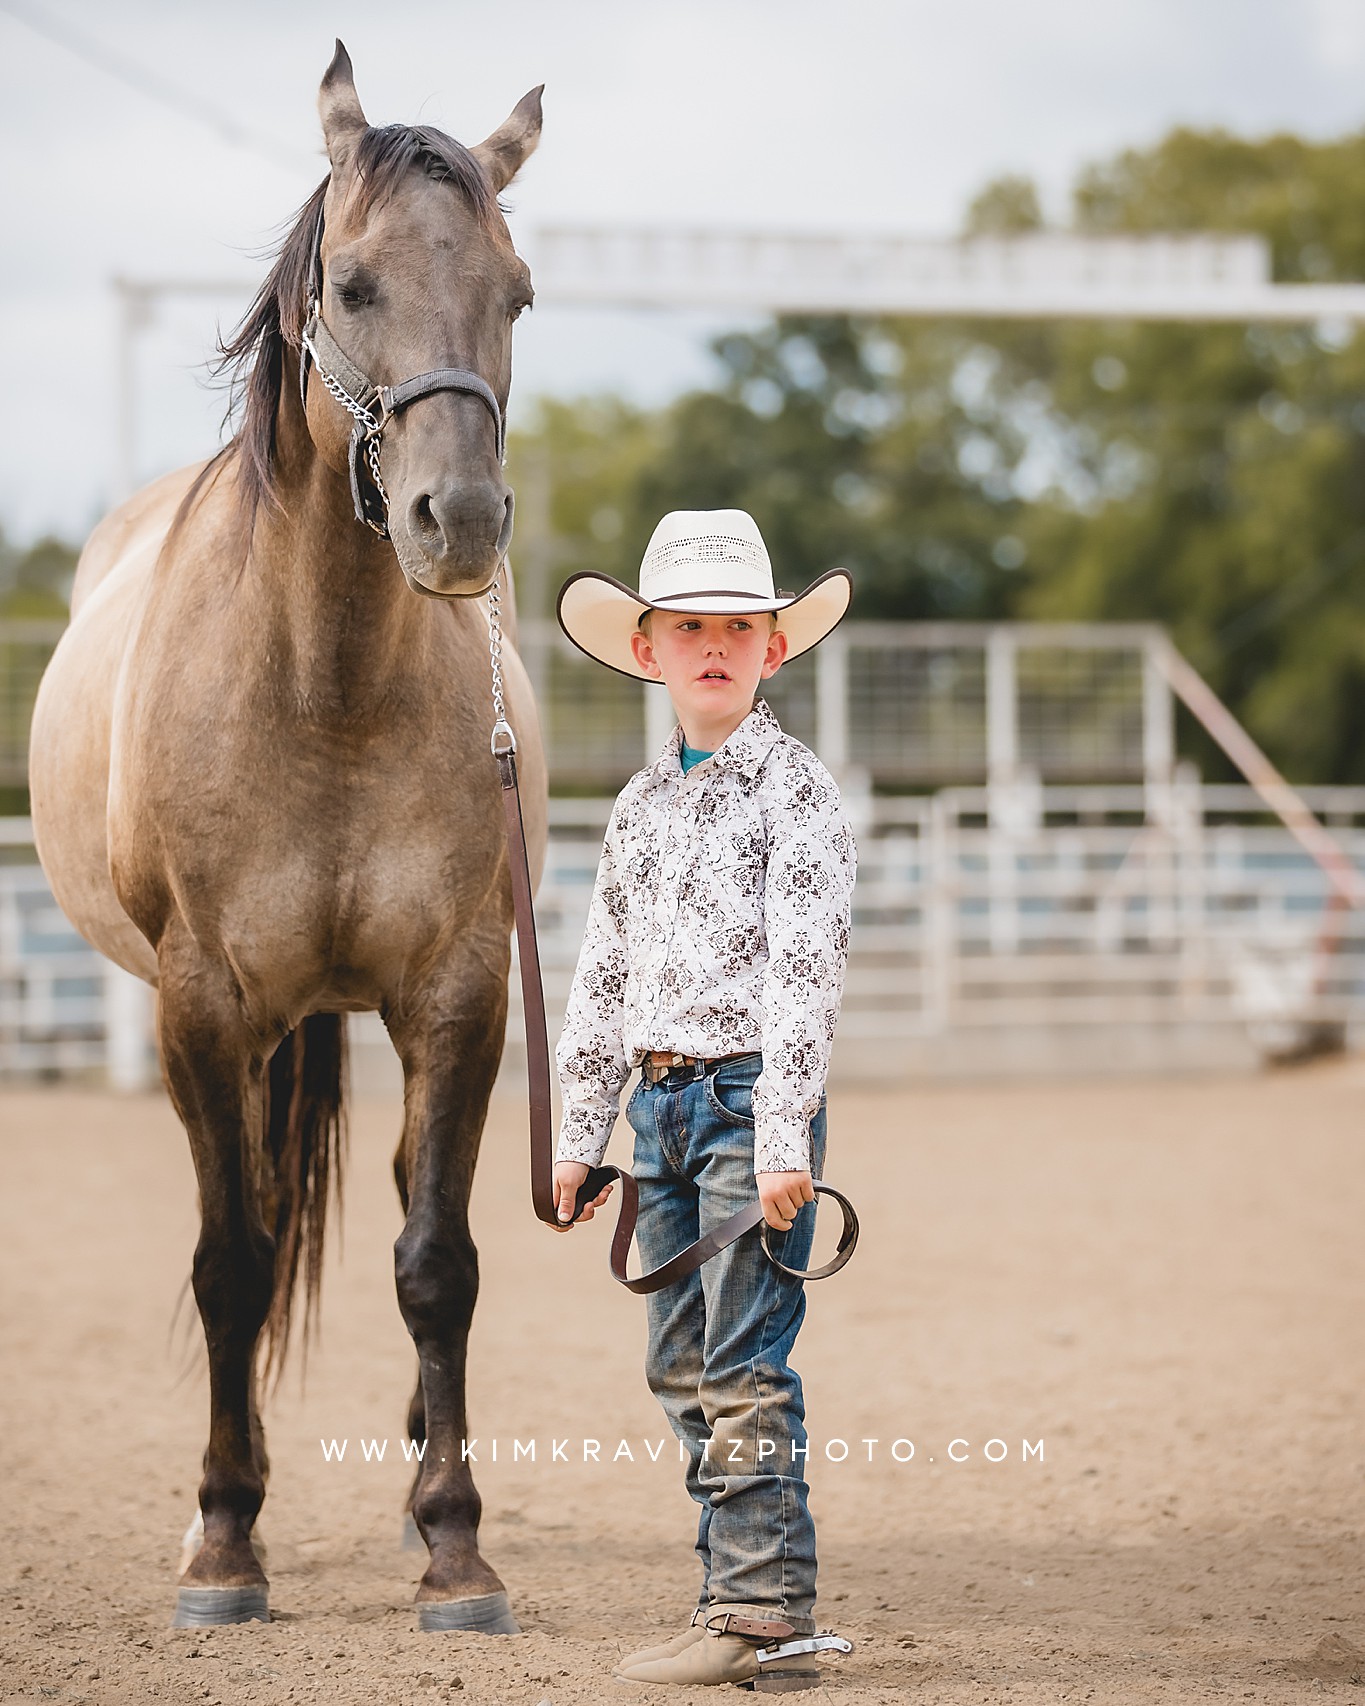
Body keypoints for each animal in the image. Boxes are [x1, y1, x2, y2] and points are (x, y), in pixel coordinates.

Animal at [26, 43, 549, 1637]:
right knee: (251, 1219)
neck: (321, 677)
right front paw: (222, 1538)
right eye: (357, 285)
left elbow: (436, 1261)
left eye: (517, 292)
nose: (459, 521)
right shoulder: (202, 1005)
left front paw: (454, 1542)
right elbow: (231, 1261)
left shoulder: (459, 993)